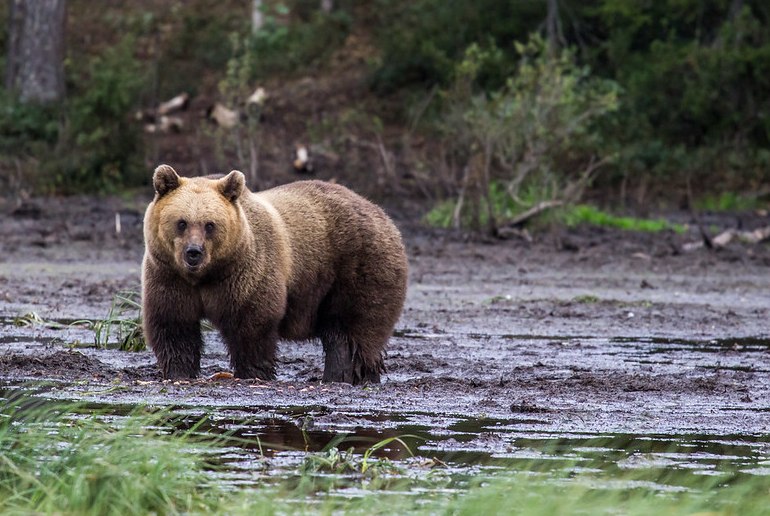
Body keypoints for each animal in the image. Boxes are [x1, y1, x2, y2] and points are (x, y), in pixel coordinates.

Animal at [142, 164, 408, 382]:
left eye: (210, 225)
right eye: (182, 222)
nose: (193, 253)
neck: (207, 275)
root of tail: (379, 211)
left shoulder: (245, 272)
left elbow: (251, 323)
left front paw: (252, 372)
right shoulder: (169, 276)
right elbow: (174, 324)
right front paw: (178, 371)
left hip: (357, 265)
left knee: (350, 329)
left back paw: (340, 375)